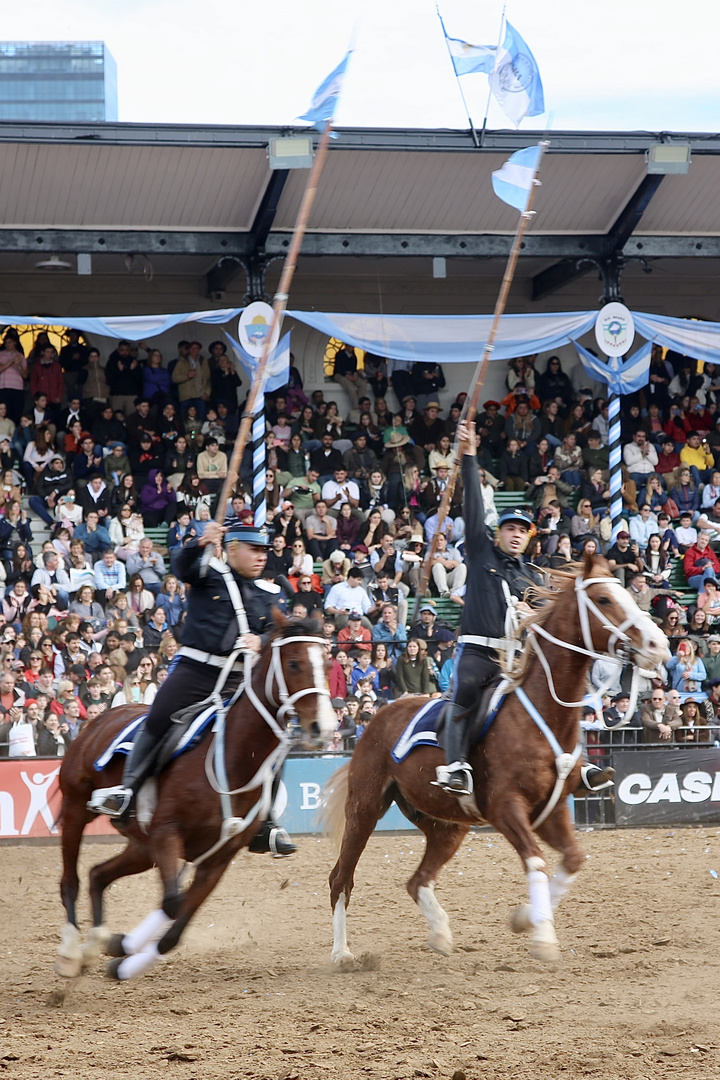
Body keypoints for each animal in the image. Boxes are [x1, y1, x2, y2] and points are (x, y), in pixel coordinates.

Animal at [56, 617, 338, 980]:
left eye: (327, 664)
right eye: (293, 663)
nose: (323, 727)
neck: (231, 757)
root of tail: (101, 718)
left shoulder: (218, 858)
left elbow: (175, 927)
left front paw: (124, 956)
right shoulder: (167, 834)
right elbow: (173, 903)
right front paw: (127, 949)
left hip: (141, 846)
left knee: (97, 875)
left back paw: (97, 942)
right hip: (77, 809)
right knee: (71, 880)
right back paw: (70, 952)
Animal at [321, 557, 669, 963]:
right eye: (603, 599)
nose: (658, 644)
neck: (541, 714)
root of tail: (380, 717)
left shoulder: (552, 810)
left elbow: (571, 860)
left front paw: (526, 918)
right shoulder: (506, 807)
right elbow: (536, 861)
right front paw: (542, 937)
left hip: (447, 827)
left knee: (417, 880)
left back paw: (440, 933)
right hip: (364, 808)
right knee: (341, 878)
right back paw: (341, 954)